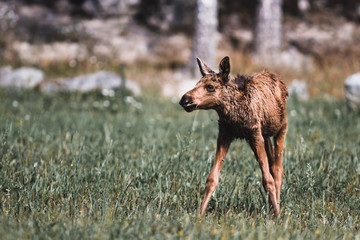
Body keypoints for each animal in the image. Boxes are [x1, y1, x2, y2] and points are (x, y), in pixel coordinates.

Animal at [179, 56, 288, 216]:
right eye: (196, 83)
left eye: (210, 86)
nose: (185, 100)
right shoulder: (225, 133)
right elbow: (212, 178)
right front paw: (200, 214)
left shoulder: (255, 133)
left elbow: (267, 180)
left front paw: (277, 216)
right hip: (264, 136)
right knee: (272, 163)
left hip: (281, 128)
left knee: (278, 169)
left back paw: (277, 207)